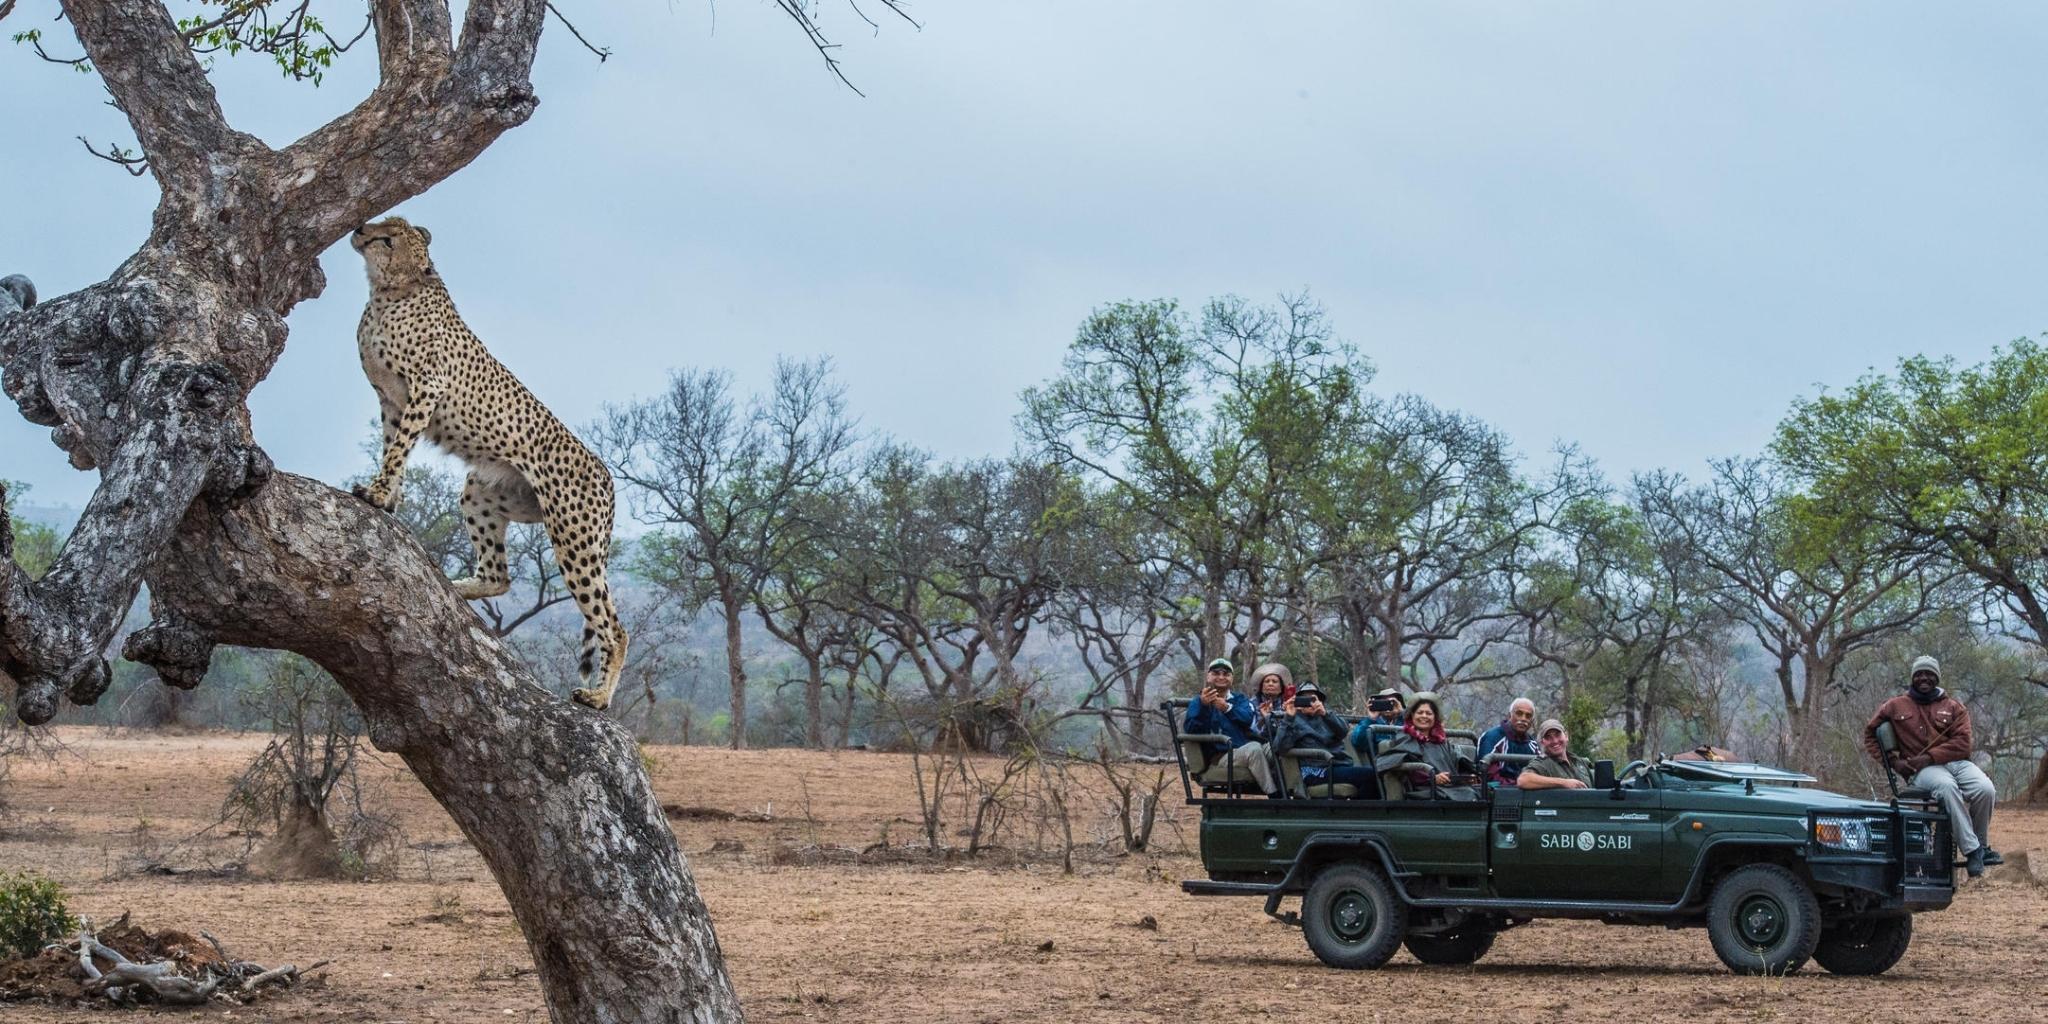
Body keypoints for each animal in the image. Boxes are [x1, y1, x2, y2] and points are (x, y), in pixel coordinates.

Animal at [348, 217, 627, 710]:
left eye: (387, 238)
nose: (360, 229)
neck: (388, 291)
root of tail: (607, 474)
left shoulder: (426, 387)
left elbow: (399, 448)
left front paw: (377, 494)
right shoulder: (391, 399)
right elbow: (391, 447)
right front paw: (389, 498)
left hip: (574, 538)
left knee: (614, 627)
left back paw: (598, 698)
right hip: (481, 491)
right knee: (499, 576)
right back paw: (455, 585)